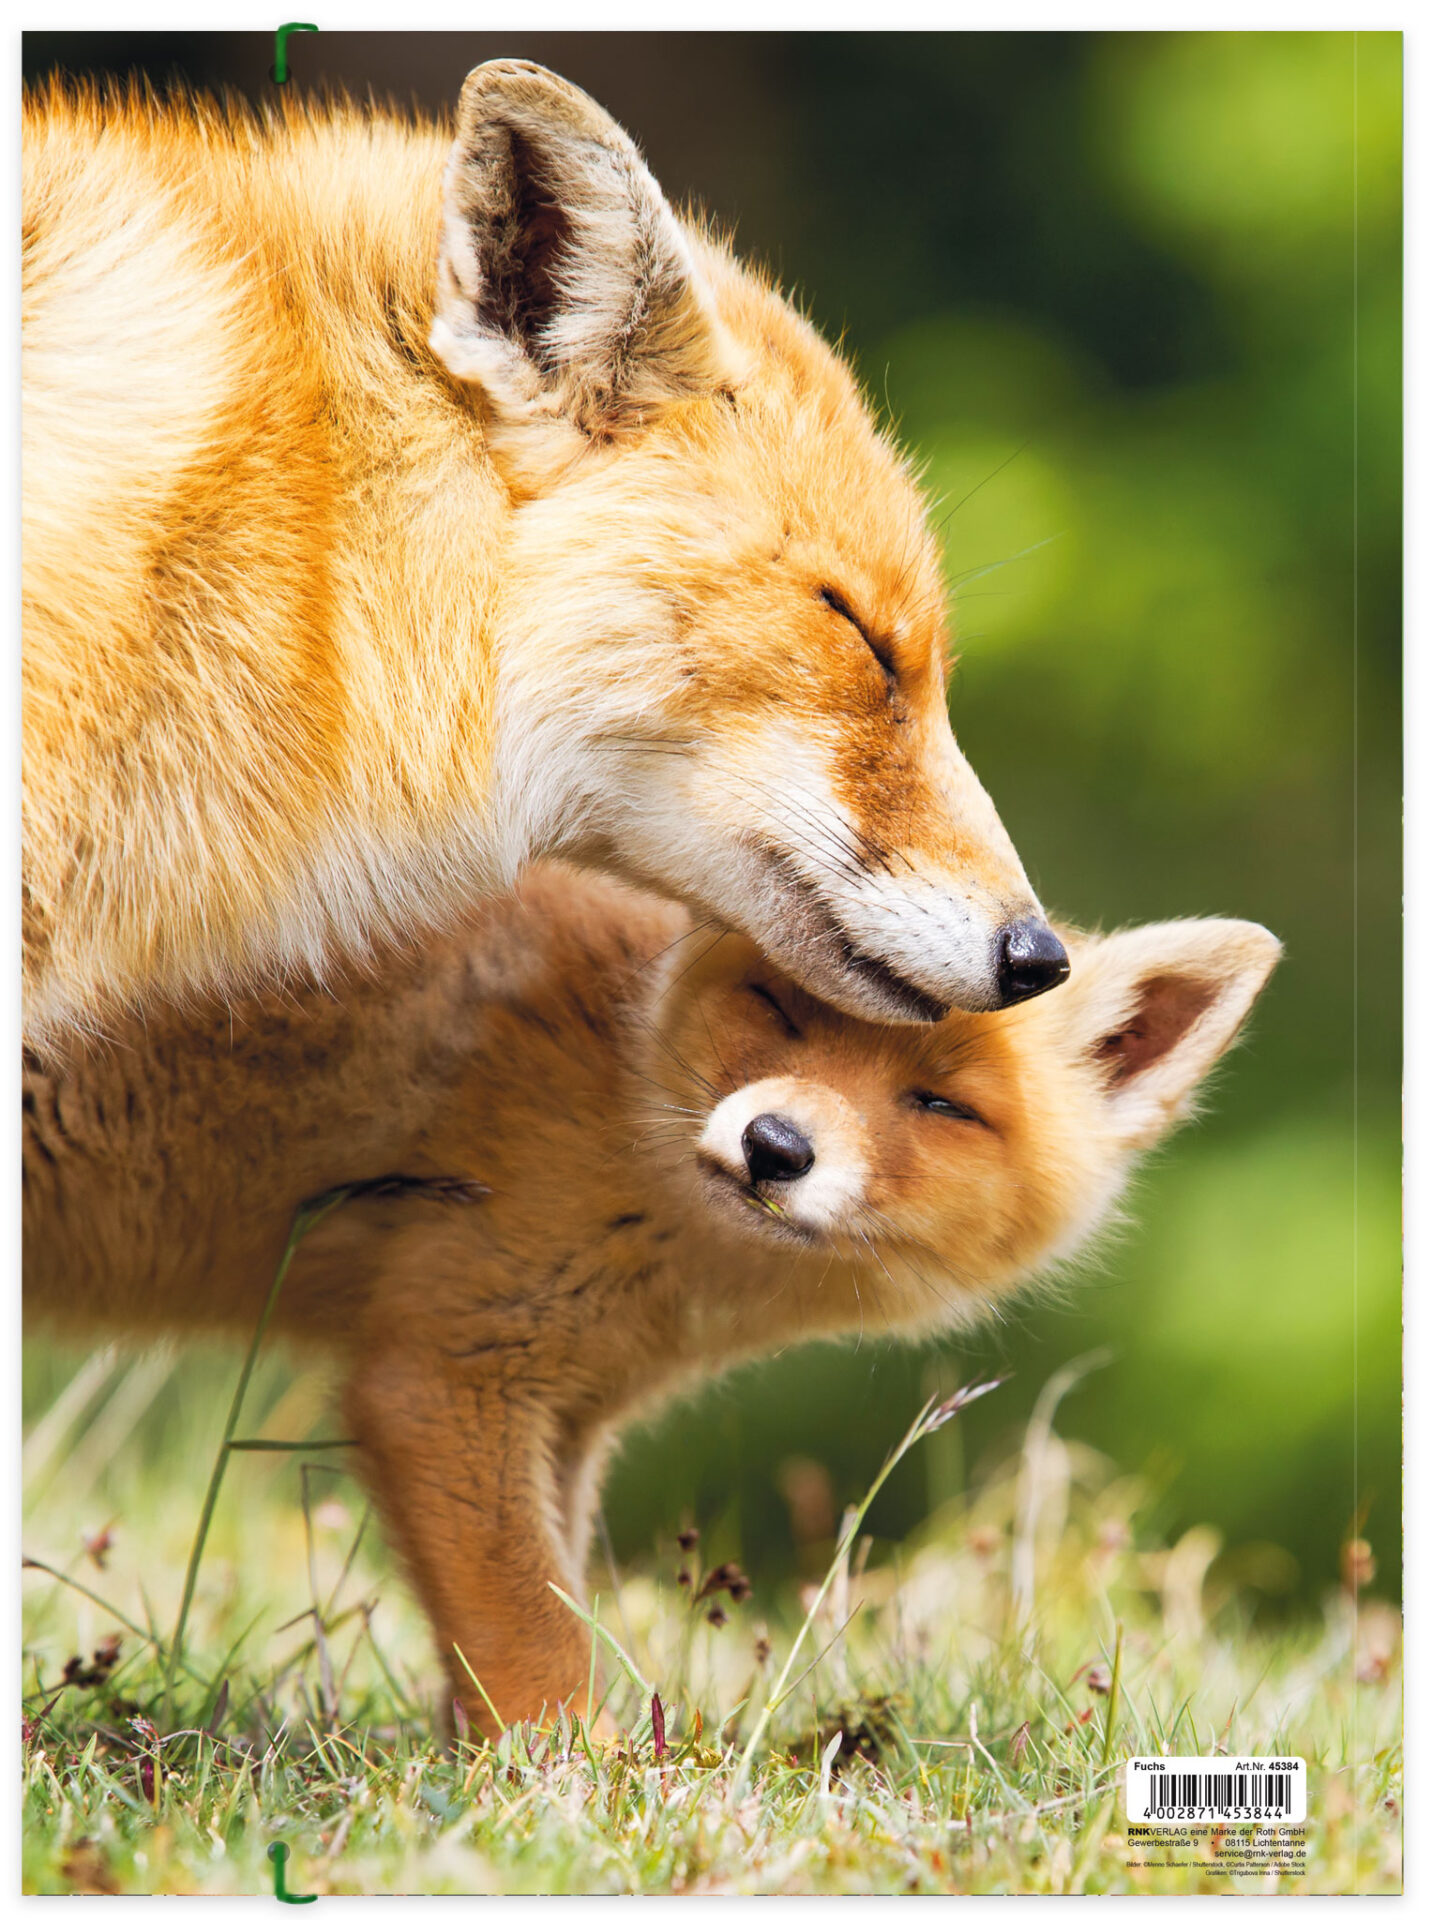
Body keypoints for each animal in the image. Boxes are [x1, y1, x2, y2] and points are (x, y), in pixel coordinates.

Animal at [24, 862, 1279, 1735]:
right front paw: (574, 1777)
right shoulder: (441, 1379)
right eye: (782, 1011)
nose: (775, 1147)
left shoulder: (570, 1410)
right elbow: (530, 1628)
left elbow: (546, 1597)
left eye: (940, 1105)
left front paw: (481, 1760)